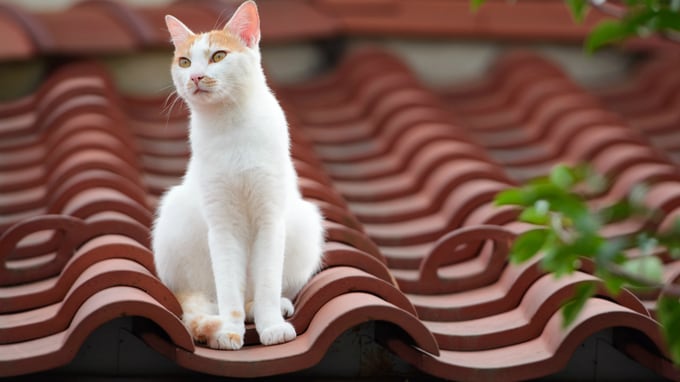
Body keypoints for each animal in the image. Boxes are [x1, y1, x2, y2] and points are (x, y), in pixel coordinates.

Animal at [152, 0, 326, 350]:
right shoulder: (222, 226)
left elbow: (268, 281)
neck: (230, 125)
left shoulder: (270, 219)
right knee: (215, 298)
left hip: (306, 224)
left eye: (218, 56)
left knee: (259, 292)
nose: (196, 76)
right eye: (185, 61)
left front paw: (271, 326)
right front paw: (229, 331)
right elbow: (228, 288)